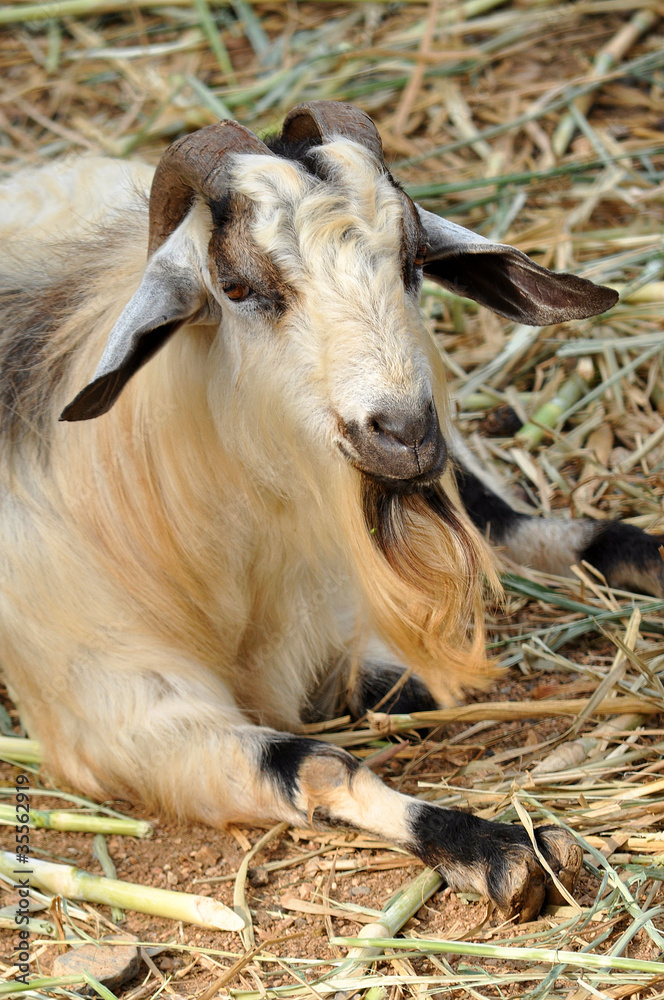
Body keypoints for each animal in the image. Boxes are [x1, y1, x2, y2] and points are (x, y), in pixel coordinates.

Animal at [1, 102, 661, 923]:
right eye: (236, 286)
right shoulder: (117, 714)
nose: (405, 430)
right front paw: (501, 851)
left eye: (414, 259)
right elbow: (320, 765)